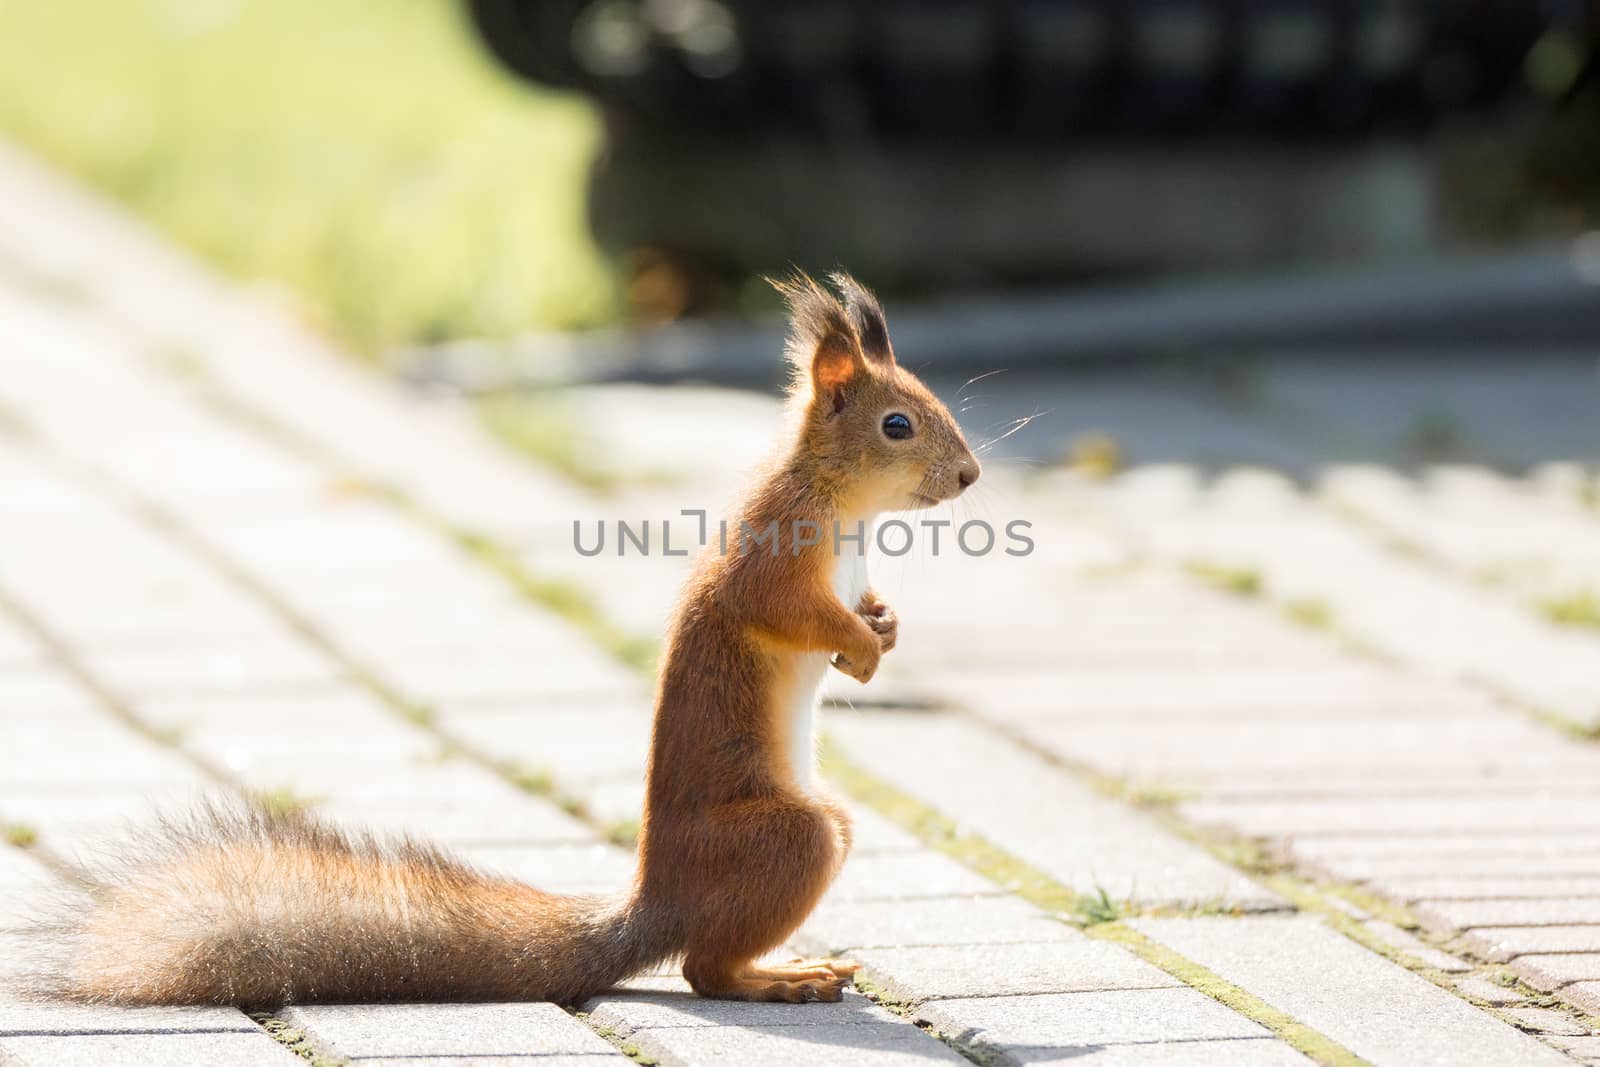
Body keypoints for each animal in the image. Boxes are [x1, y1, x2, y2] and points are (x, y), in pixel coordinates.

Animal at [46, 271, 972, 1004]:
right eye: (897, 424)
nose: (969, 476)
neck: (844, 506)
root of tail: (654, 905)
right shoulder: (770, 551)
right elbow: (780, 608)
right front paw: (859, 643)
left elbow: (859, 611)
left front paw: (881, 629)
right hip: (788, 837)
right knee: (703, 966)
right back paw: (780, 976)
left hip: (826, 825)